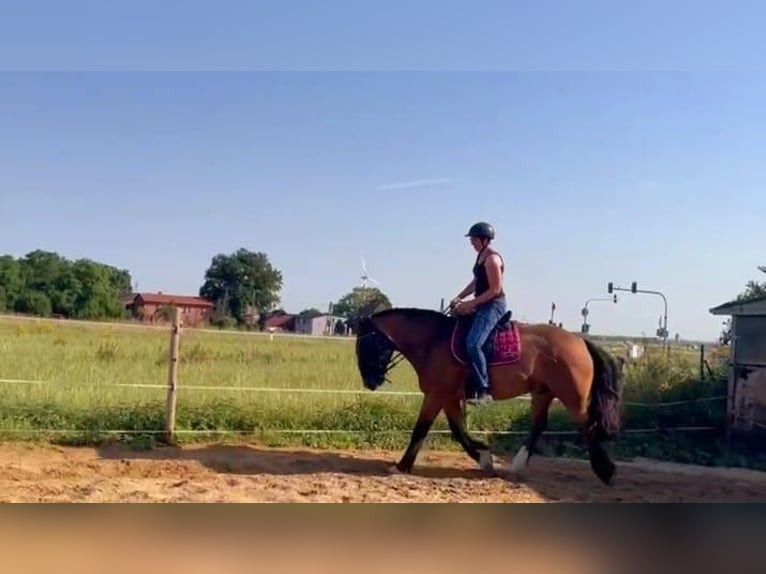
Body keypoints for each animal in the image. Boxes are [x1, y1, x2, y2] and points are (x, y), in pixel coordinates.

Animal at [356, 306, 628, 486]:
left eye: (365, 344)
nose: (370, 382)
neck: (433, 341)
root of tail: (580, 341)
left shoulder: (437, 394)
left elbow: (421, 429)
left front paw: (402, 466)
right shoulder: (449, 397)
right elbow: (458, 430)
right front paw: (484, 457)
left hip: (572, 397)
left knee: (587, 426)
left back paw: (605, 471)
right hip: (543, 393)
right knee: (539, 425)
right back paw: (518, 465)